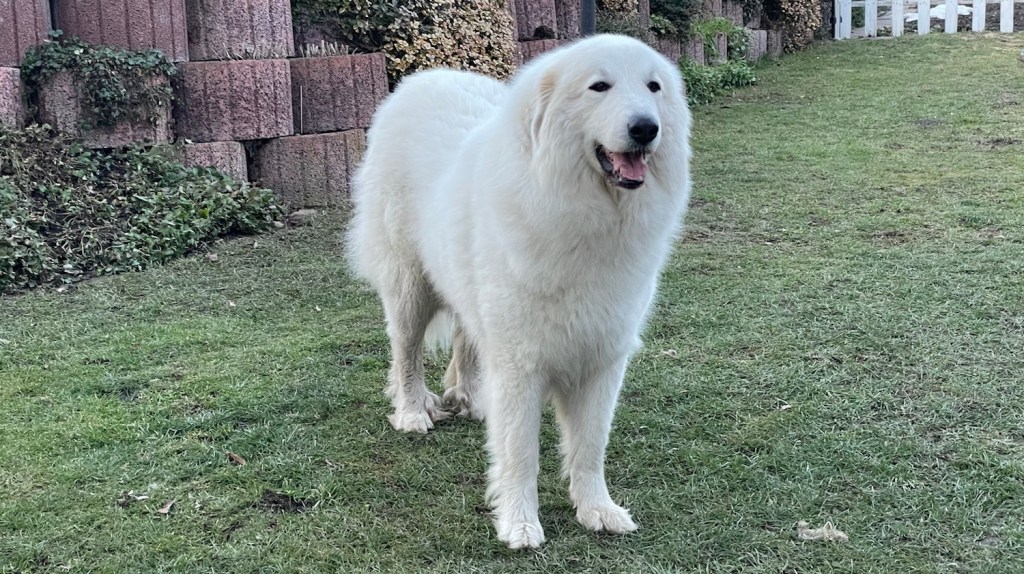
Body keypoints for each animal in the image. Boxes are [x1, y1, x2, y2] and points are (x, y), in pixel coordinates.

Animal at [347, 34, 692, 548]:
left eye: (654, 87)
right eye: (600, 86)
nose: (646, 128)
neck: (586, 215)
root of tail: (423, 78)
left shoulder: (603, 359)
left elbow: (590, 446)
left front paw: (597, 509)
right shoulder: (520, 364)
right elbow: (520, 451)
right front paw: (520, 523)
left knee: (466, 341)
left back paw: (469, 397)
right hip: (410, 287)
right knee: (406, 353)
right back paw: (412, 411)